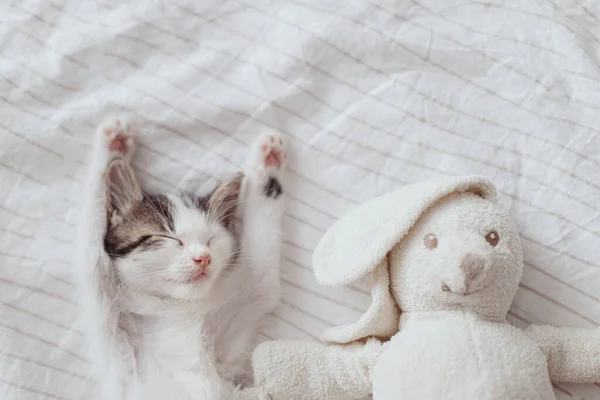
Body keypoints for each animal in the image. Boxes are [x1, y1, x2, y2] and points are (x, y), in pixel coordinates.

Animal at [76, 116, 288, 400]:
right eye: (171, 238)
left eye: (211, 240)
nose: (203, 258)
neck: (172, 307)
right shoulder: (116, 346)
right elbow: (93, 259)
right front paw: (113, 142)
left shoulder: (224, 345)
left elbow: (262, 274)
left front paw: (268, 161)